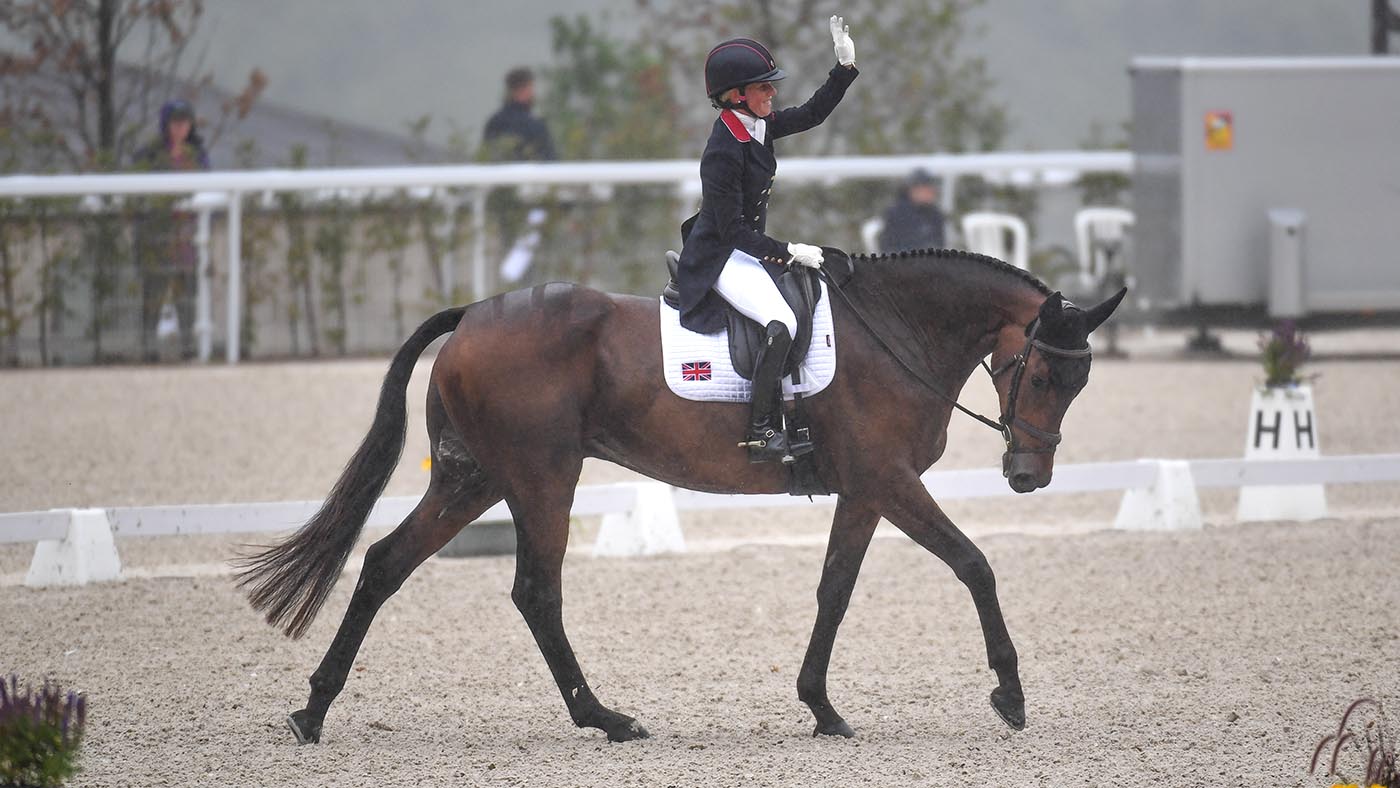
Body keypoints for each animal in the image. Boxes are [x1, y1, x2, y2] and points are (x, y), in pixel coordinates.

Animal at [238, 247, 1125, 744]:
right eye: (1044, 376)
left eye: (1081, 384)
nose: (1029, 476)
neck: (895, 331)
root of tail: (473, 317)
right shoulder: (889, 480)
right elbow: (974, 565)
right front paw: (1009, 694)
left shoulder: (865, 490)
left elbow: (834, 590)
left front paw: (821, 708)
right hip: (541, 476)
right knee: (535, 591)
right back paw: (606, 719)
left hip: (473, 477)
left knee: (385, 564)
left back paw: (312, 712)